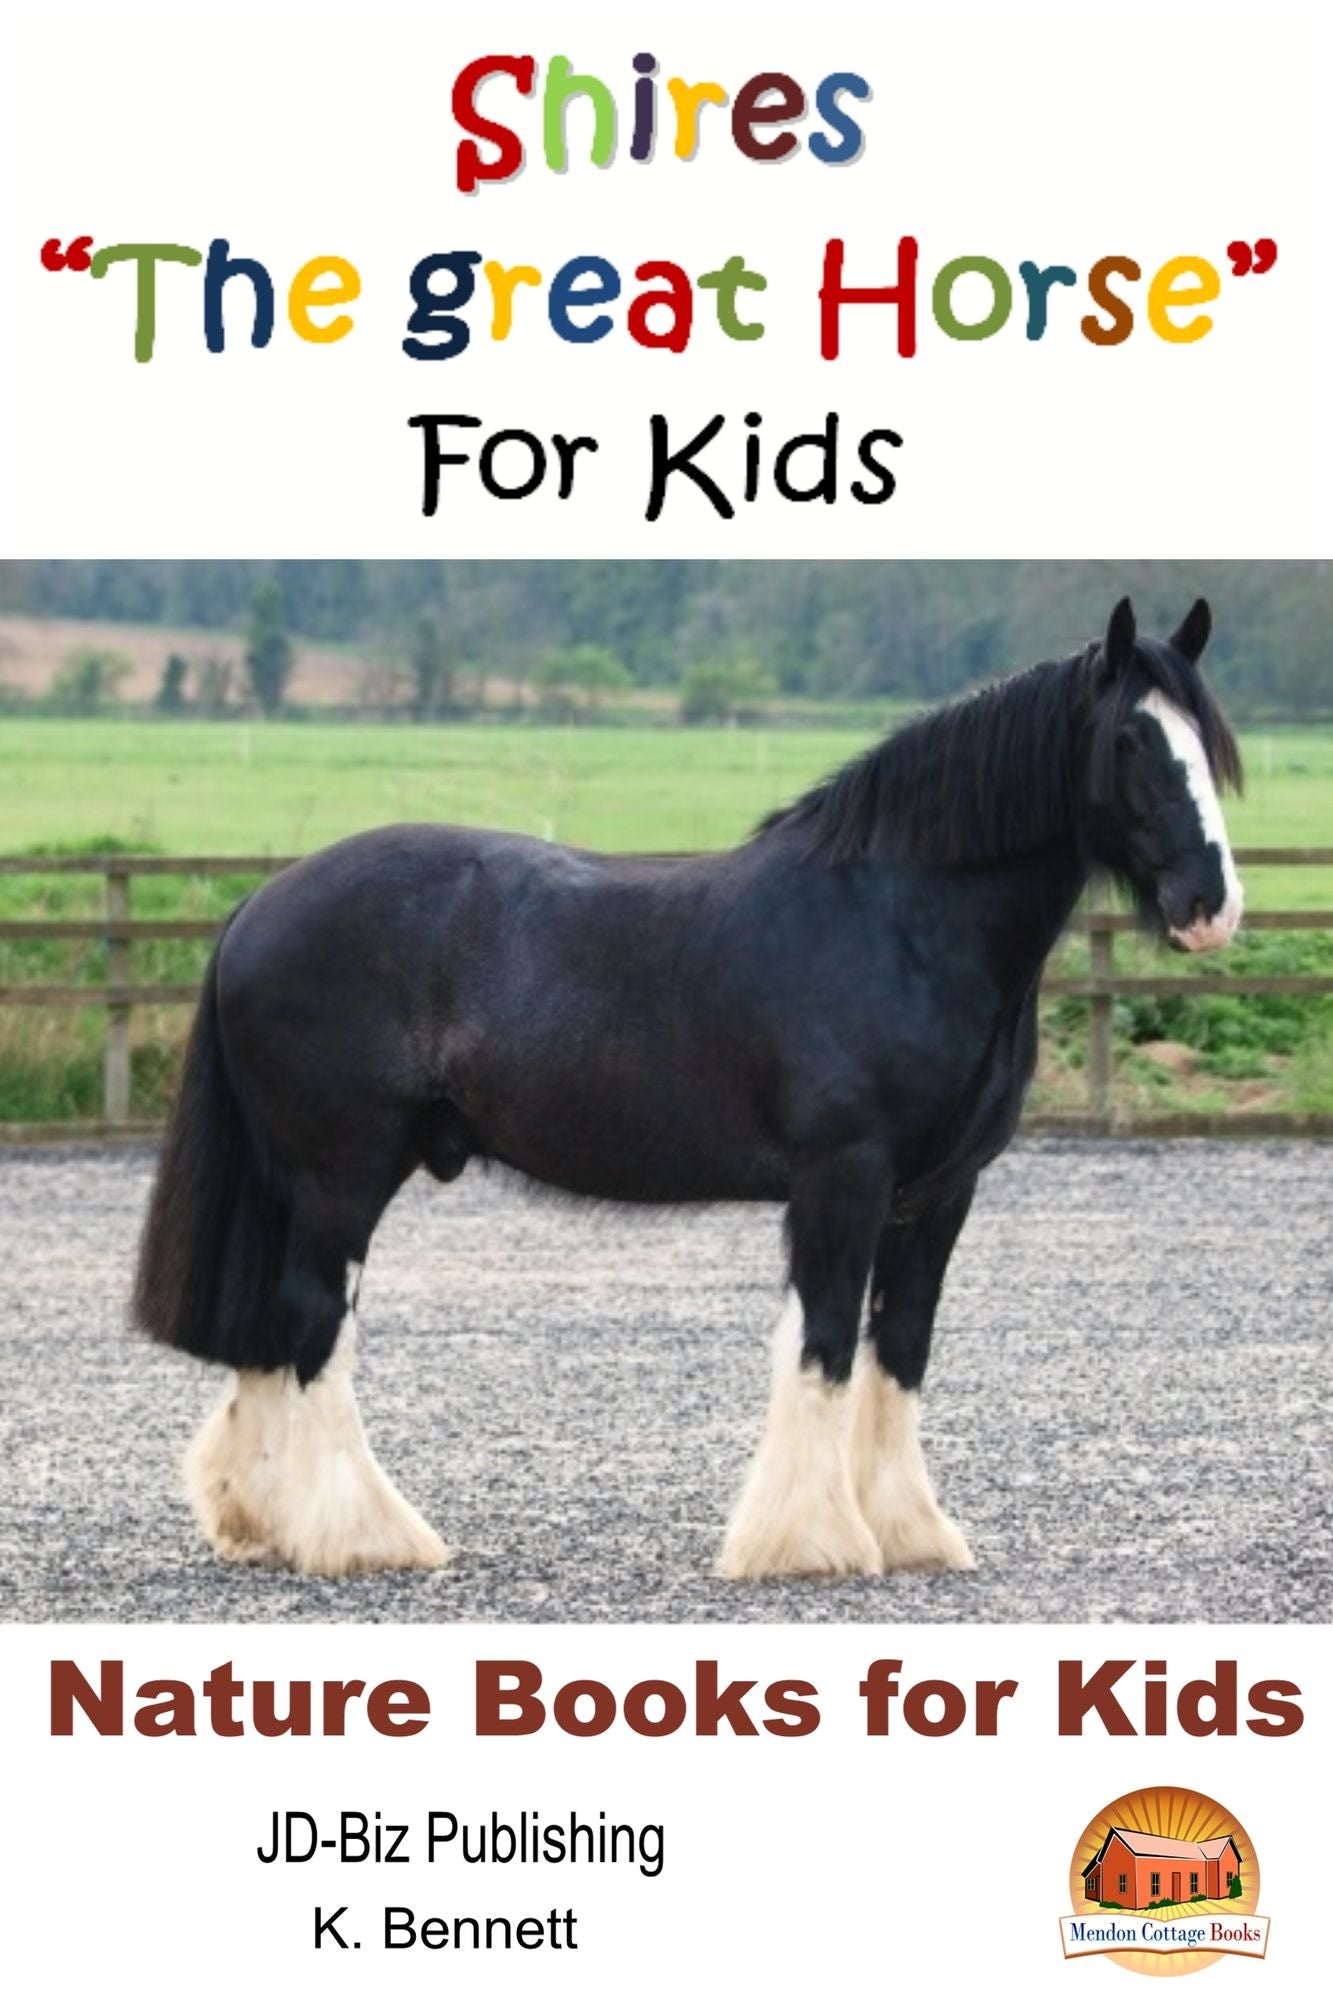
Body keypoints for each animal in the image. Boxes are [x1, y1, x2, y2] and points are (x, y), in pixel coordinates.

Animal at [132, 596, 1244, 1581]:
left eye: (1207, 742)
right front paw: (809, 1544)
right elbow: (825, 1346)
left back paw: (265, 1522)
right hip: (342, 1174)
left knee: (273, 1330)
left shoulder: (938, 1193)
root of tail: (258, 905)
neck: (897, 920)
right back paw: (366, 1538)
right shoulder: (842, 1177)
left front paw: (910, 1533)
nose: (1210, 905)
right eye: (1131, 741)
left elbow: (899, 1350)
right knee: (314, 1323)